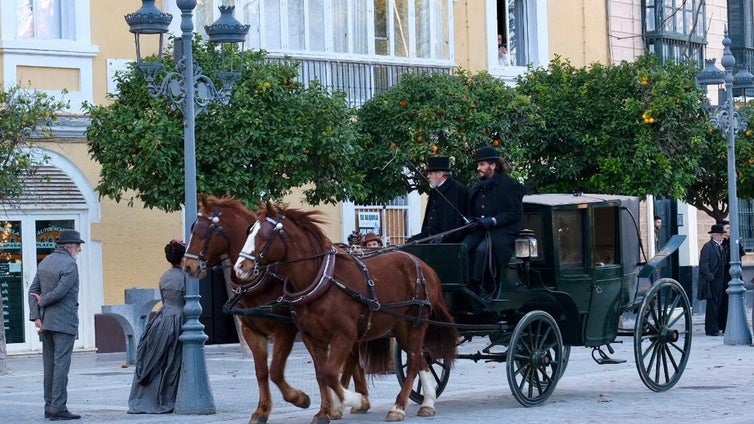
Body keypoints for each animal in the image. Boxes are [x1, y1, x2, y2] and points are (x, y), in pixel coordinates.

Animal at [178, 195, 364, 424]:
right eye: (193, 228)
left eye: (205, 231)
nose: (187, 266)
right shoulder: (251, 331)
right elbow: (261, 371)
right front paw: (262, 410)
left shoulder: (285, 330)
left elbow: (275, 370)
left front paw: (301, 399)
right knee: (351, 360)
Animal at [235, 203, 456, 424]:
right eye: (249, 231)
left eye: (264, 235)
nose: (240, 267)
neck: (322, 281)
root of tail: (422, 264)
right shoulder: (311, 337)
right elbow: (320, 374)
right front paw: (325, 410)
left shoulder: (344, 335)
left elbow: (330, 373)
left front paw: (355, 400)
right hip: (401, 324)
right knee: (419, 358)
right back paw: (428, 401)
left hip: (418, 321)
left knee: (413, 361)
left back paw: (399, 407)